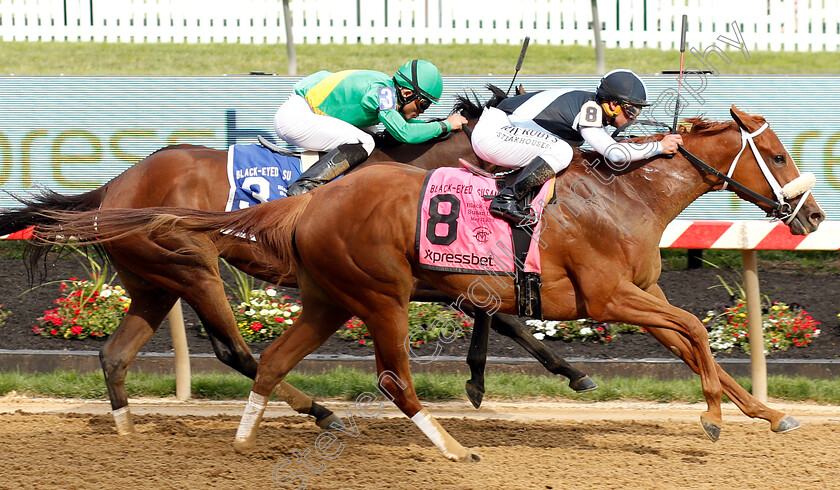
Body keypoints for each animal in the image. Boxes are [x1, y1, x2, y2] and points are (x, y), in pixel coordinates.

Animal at [34, 106, 828, 460]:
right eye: (782, 152)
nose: (814, 213)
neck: (622, 193)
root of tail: (114, 185)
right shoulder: (605, 296)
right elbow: (692, 332)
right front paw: (715, 416)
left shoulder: (637, 294)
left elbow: (693, 343)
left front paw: (762, 412)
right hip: (211, 271)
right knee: (259, 353)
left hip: (175, 283)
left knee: (134, 352)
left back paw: (154, 428)